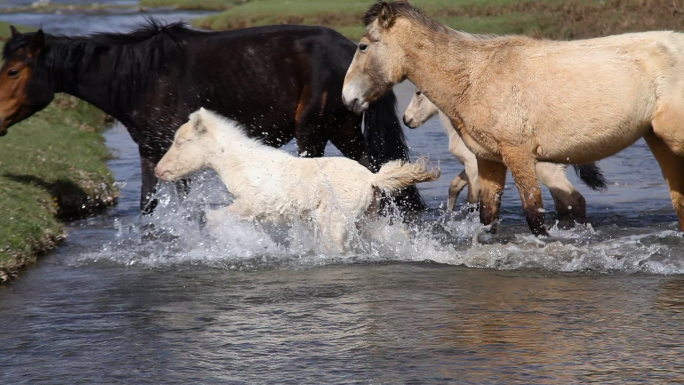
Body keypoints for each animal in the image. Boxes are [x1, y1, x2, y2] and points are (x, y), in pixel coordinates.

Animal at [0, 19, 424, 213]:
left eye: (14, 71)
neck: (143, 77)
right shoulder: (151, 153)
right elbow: (149, 206)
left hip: (314, 133)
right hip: (345, 130)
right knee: (378, 172)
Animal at [155, 108, 438, 252]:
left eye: (180, 142)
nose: (159, 171)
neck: (243, 165)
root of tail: (372, 177)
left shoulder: (257, 204)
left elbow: (215, 217)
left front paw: (241, 240)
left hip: (335, 217)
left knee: (334, 244)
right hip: (365, 217)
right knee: (395, 233)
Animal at [404, 87, 608, 216]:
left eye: (418, 92)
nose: (406, 120)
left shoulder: (472, 166)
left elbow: (472, 200)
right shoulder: (473, 166)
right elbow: (454, 186)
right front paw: (448, 213)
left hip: (549, 173)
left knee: (576, 201)